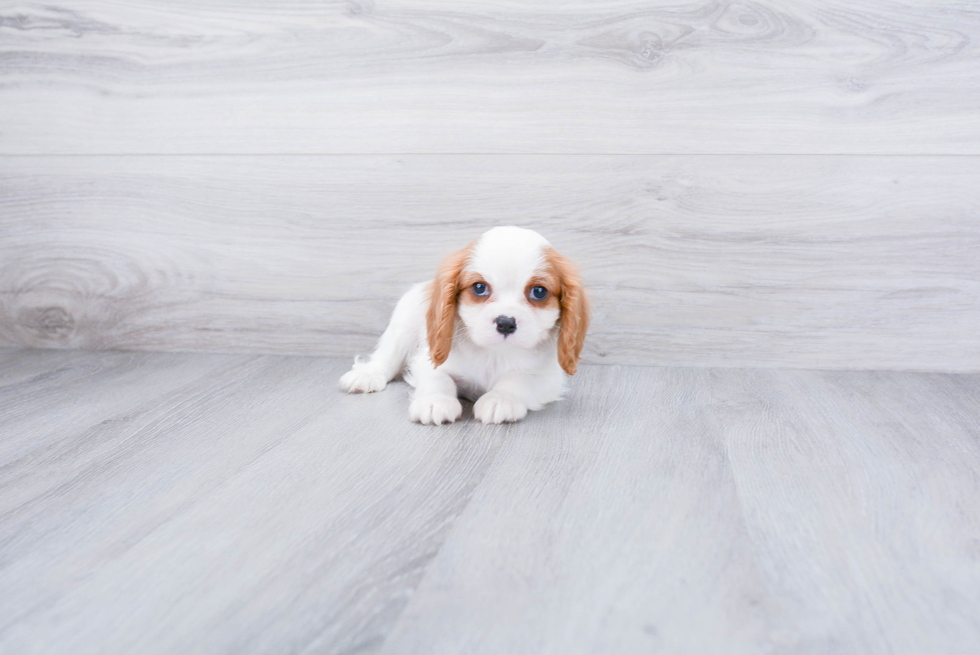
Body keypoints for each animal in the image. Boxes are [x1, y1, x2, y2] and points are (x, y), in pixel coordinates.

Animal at [340, 228, 584, 428]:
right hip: (404, 322)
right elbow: (438, 378)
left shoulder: (549, 377)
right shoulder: (428, 359)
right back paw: (367, 375)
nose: (505, 322)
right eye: (479, 287)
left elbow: (518, 378)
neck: (495, 352)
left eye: (539, 292)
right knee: (387, 357)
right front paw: (435, 401)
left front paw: (500, 398)